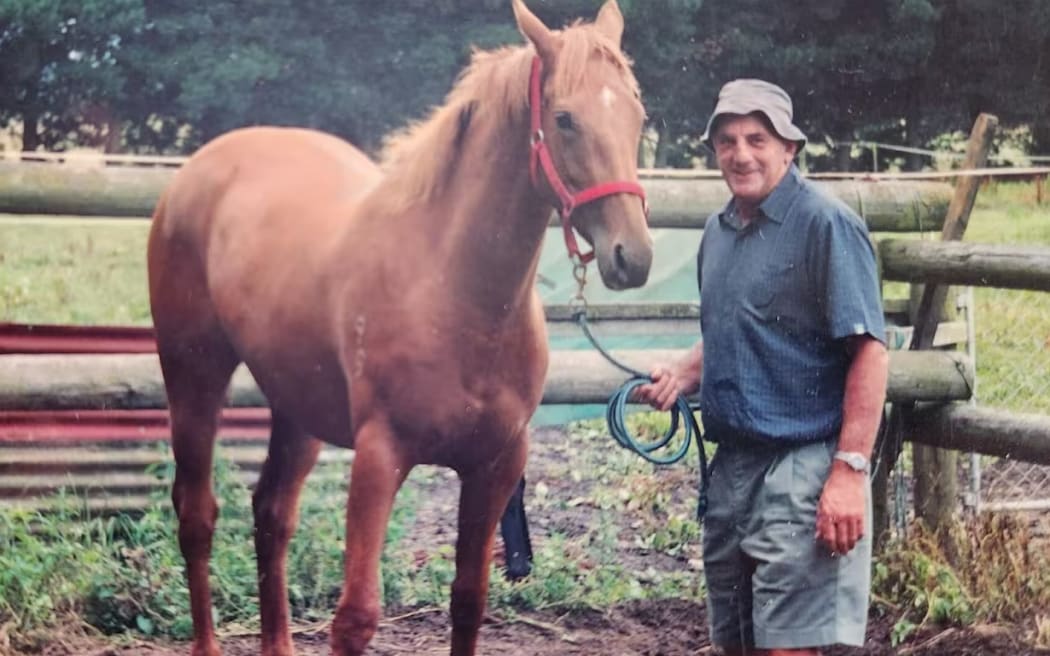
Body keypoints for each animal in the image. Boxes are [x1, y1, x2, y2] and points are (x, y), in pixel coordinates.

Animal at [146, 1, 652, 654]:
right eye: (564, 119)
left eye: (637, 114)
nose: (632, 256)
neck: (450, 291)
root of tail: (197, 172)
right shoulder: (379, 458)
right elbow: (356, 617)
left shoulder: (495, 464)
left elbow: (469, 599)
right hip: (193, 378)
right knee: (196, 514)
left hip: (297, 409)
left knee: (272, 513)